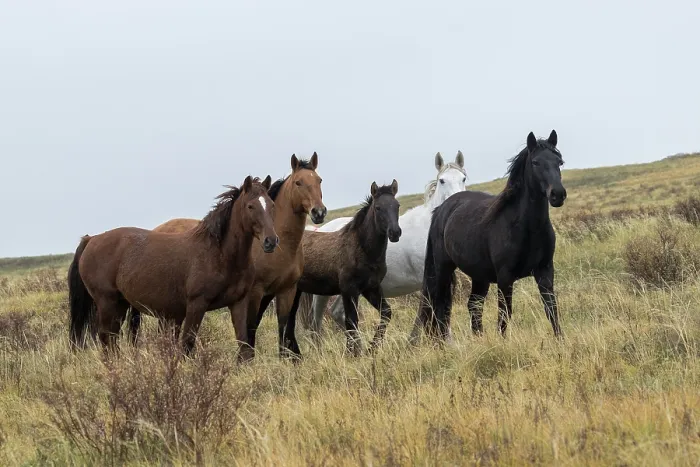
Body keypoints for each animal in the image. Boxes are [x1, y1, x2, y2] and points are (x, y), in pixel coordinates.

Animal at [67, 175, 277, 361]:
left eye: (271, 205)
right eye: (250, 206)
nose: (271, 241)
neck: (220, 254)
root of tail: (91, 239)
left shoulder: (238, 302)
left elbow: (244, 345)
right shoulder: (196, 304)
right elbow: (187, 344)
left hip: (120, 303)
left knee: (112, 338)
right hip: (106, 302)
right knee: (106, 337)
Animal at [145, 153, 326, 358]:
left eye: (319, 180)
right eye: (298, 182)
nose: (319, 212)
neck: (283, 250)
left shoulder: (287, 290)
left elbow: (283, 327)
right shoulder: (255, 292)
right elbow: (251, 327)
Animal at [282, 181, 402, 357]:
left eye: (397, 205)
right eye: (378, 207)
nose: (395, 233)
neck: (362, 249)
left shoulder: (371, 288)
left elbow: (386, 313)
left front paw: (371, 348)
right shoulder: (348, 290)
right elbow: (351, 321)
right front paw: (352, 354)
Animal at [300, 151, 467, 332]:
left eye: (463, 178)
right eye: (442, 180)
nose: (457, 202)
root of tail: (319, 231)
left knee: (337, 313)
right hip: (322, 295)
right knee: (317, 321)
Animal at [410, 131, 566, 343]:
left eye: (559, 162)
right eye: (535, 162)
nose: (558, 194)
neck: (525, 227)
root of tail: (441, 209)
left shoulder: (545, 270)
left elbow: (551, 309)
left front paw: (560, 341)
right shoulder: (505, 277)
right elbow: (504, 314)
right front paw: (503, 343)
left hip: (479, 275)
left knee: (473, 306)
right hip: (443, 268)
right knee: (441, 306)